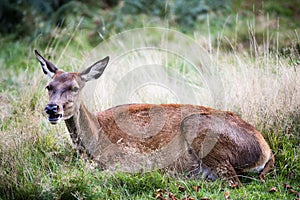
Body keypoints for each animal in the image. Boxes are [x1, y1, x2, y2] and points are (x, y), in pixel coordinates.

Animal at [35, 49, 274, 187]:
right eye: (49, 86)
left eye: (74, 88)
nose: (52, 109)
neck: (96, 138)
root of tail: (266, 151)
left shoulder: (128, 159)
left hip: (200, 131)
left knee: (234, 182)